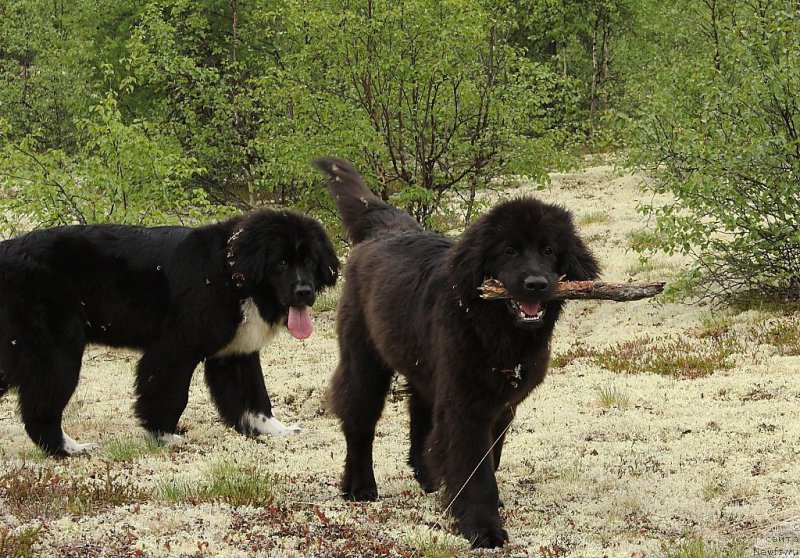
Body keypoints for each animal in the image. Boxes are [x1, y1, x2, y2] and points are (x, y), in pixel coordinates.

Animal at [0, 210, 338, 460]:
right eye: (280, 262)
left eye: (310, 261)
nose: (305, 291)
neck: (231, 276)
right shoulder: (175, 347)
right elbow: (169, 393)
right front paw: (164, 435)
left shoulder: (235, 353)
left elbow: (254, 398)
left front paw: (276, 431)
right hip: (59, 351)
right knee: (41, 408)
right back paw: (69, 449)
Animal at [316, 159, 596, 552]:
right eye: (509, 251)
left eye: (548, 250)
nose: (536, 284)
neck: (494, 329)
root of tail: (385, 226)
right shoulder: (467, 403)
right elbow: (475, 468)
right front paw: (483, 528)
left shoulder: (501, 404)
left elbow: (489, 456)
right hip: (364, 360)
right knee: (359, 418)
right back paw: (360, 486)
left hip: (423, 364)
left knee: (420, 411)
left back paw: (428, 478)